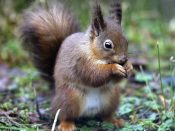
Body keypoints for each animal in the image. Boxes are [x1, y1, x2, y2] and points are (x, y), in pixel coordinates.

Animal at [20, 0, 133, 130]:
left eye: (126, 41)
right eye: (108, 45)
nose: (123, 59)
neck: (93, 51)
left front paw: (129, 66)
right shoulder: (81, 61)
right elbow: (93, 75)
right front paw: (114, 68)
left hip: (111, 98)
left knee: (105, 115)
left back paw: (113, 121)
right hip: (70, 98)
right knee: (65, 115)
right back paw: (67, 125)